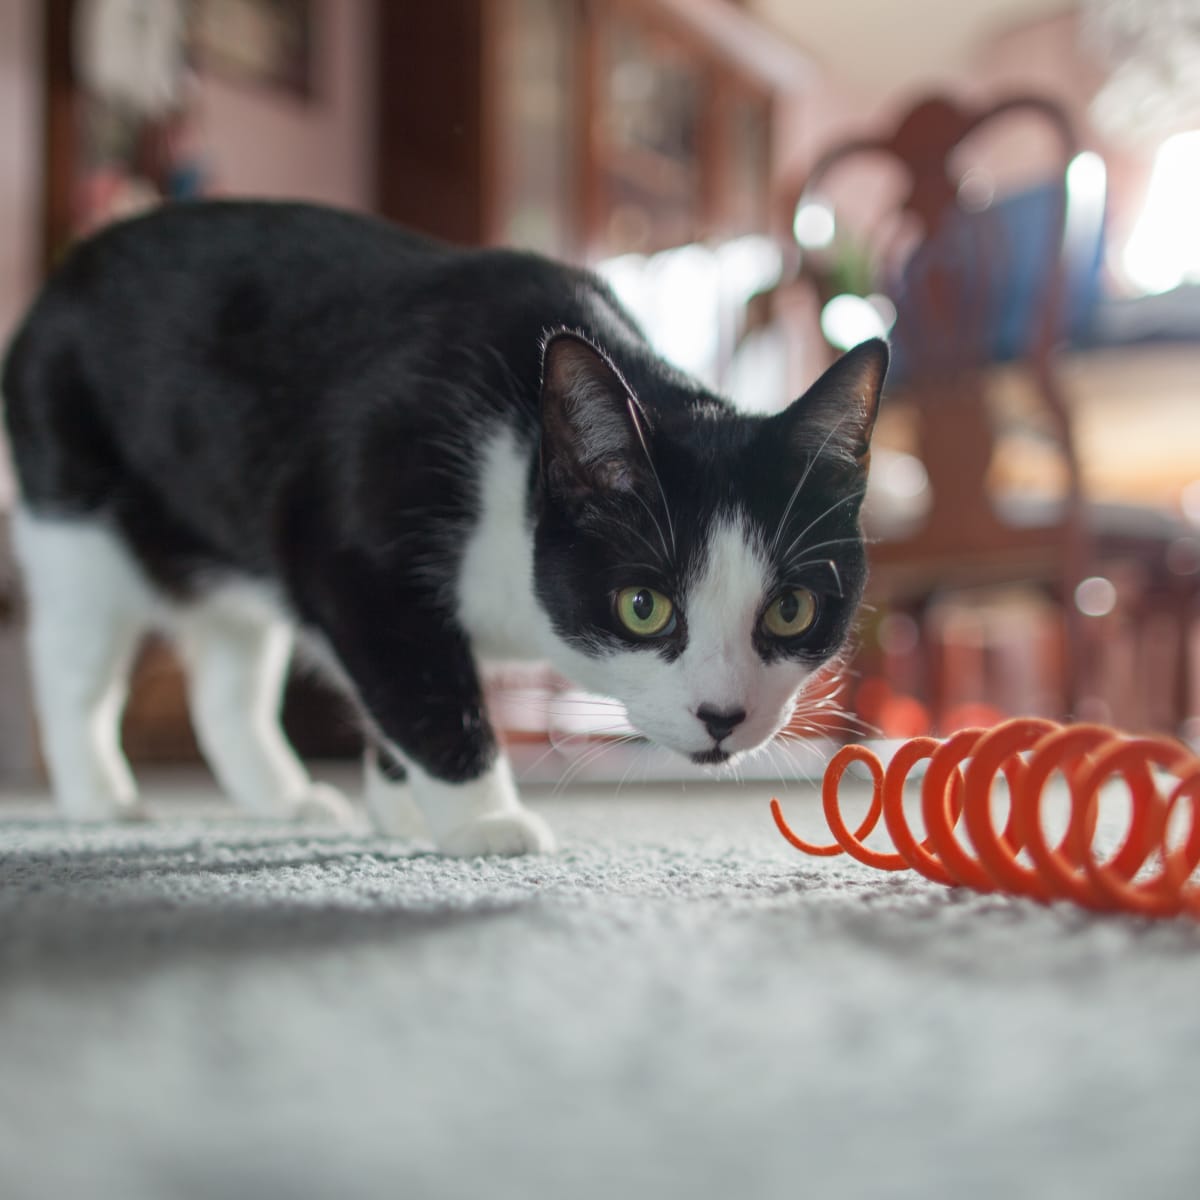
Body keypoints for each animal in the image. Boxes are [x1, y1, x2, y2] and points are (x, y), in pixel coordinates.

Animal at [0, 201, 888, 854]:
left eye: (791, 611)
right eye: (645, 606)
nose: (722, 716)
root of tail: (64, 272)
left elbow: (394, 695)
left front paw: (401, 808)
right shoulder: (356, 555)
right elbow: (427, 687)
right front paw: (480, 821)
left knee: (228, 686)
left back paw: (289, 800)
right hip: (76, 519)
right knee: (72, 669)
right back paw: (99, 798)